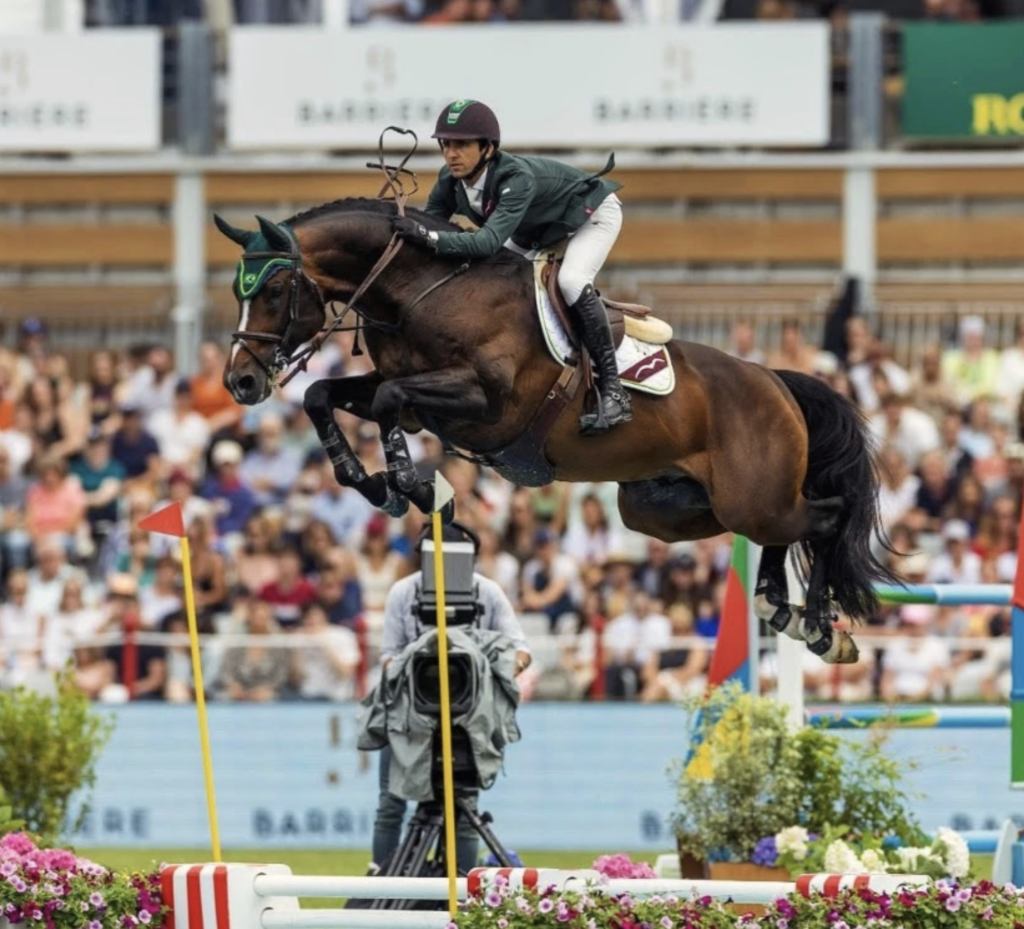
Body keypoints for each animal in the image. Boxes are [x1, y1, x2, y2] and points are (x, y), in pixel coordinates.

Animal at [214, 199, 897, 663]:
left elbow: (383, 399)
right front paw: (372, 481)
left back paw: (818, 622)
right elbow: (325, 396)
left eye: (275, 288)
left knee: (824, 517)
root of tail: (775, 380)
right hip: (667, 510)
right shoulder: (412, 401)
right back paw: (779, 605)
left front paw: (414, 486)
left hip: (749, 494)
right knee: (780, 528)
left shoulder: (483, 401)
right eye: (239, 290)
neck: (420, 290)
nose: (240, 382)